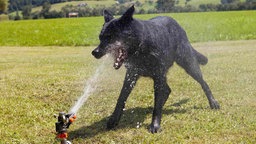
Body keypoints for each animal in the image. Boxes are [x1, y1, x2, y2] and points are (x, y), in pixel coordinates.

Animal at [91, 5, 219, 134]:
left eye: (110, 36)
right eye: (100, 37)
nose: (95, 52)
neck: (141, 46)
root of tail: (179, 27)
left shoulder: (158, 75)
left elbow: (157, 103)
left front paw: (155, 125)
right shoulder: (132, 75)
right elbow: (121, 98)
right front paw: (113, 120)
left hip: (188, 64)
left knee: (203, 82)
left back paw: (213, 102)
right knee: (167, 90)